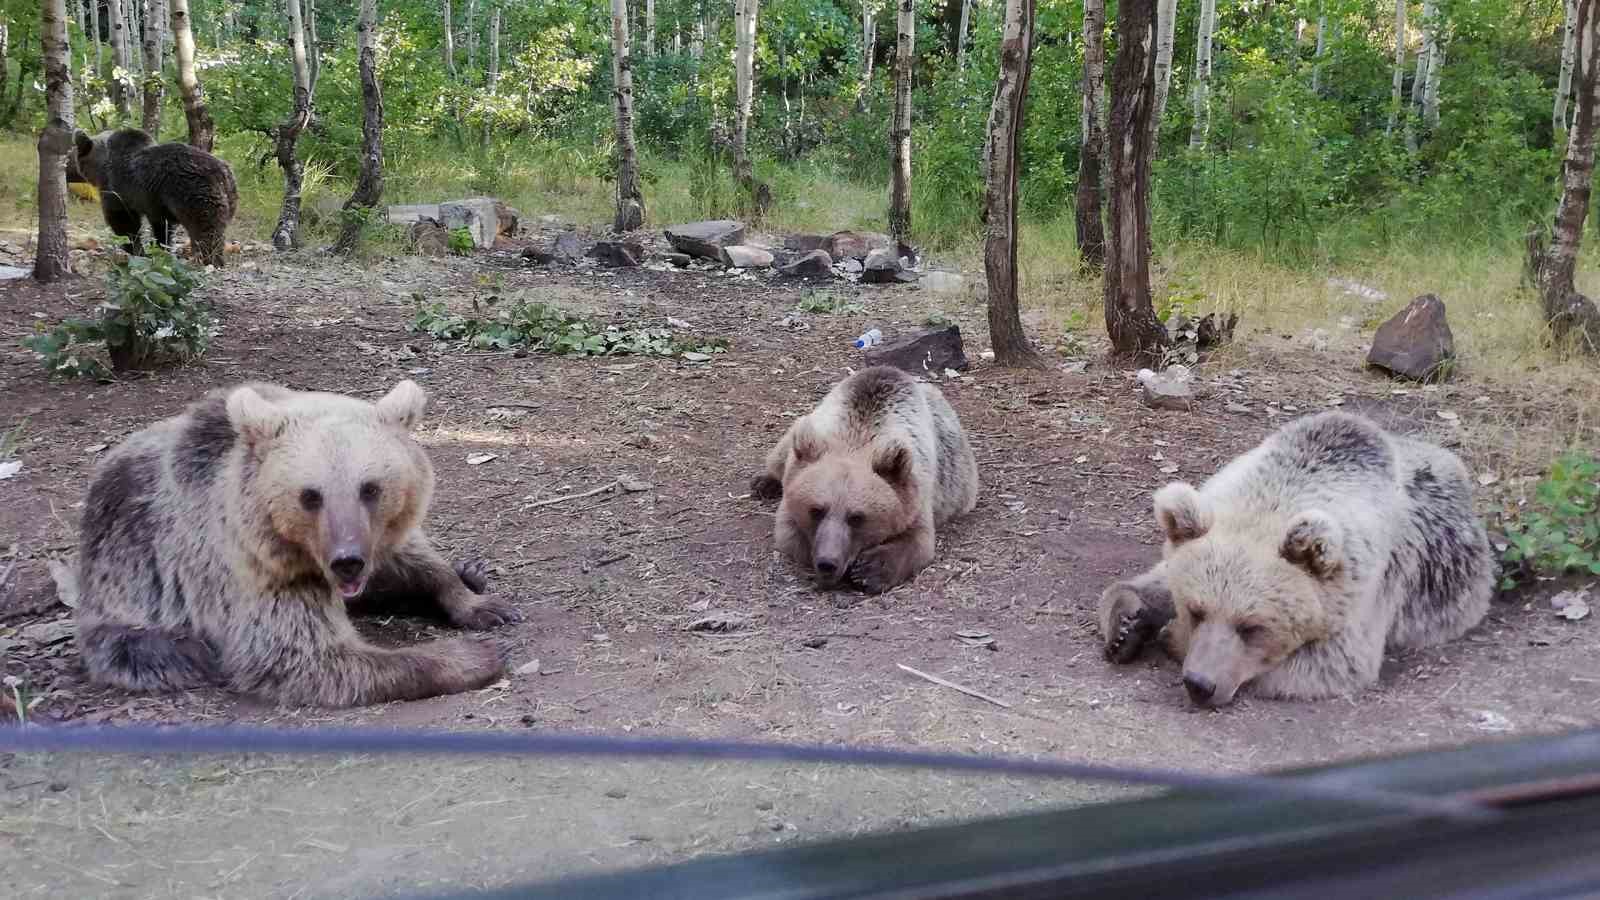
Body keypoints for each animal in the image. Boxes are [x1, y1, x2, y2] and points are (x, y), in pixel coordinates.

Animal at [72, 128, 236, 264]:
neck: (101, 166)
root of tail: (221, 174)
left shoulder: (117, 190)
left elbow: (123, 221)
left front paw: (134, 249)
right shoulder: (156, 203)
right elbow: (162, 228)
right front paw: (160, 249)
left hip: (193, 193)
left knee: (205, 229)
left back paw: (208, 259)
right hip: (229, 195)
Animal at [73, 374, 518, 704]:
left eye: (370, 488)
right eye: (310, 495)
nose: (347, 561)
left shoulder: (375, 542)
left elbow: (414, 562)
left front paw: (480, 601)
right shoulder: (254, 572)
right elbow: (307, 656)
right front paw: (473, 656)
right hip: (125, 601)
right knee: (156, 650)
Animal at [748, 360, 972, 592]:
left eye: (857, 517)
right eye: (816, 510)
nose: (828, 563)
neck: (857, 438)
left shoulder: (916, 492)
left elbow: (919, 541)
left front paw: (869, 570)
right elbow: (791, 535)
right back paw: (763, 483)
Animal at [1094, 409, 1491, 704]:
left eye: (1252, 626)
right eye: (1196, 609)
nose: (1200, 684)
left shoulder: (1367, 595)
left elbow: (1329, 664)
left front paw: (1168, 636)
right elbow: (1151, 580)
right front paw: (1127, 624)